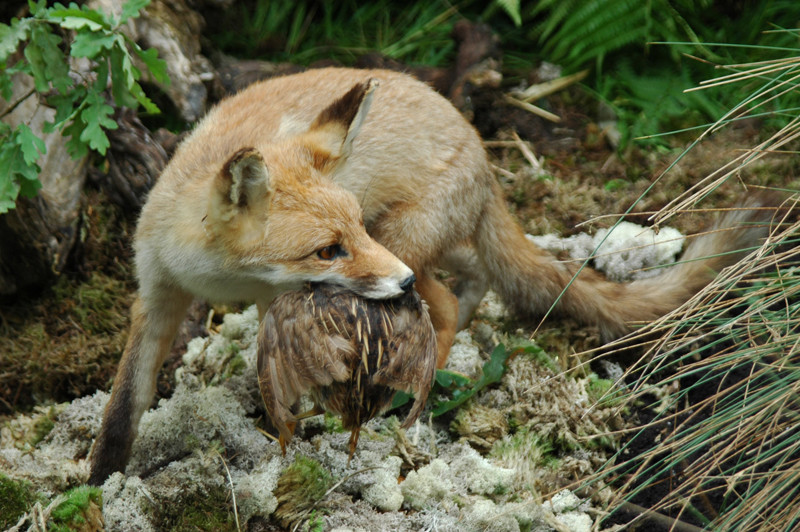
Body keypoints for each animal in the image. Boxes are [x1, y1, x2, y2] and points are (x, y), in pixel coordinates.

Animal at [87, 65, 768, 482]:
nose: (401, 283)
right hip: (420, 247)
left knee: (441, 310)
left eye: (348, 234)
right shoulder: (156, 293)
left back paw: (414, 393)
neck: (218, 281)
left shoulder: (279, 297)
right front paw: (100, 481)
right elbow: (123, 408)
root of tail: (482, 148)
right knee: (476, 281)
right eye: (328, 249)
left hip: (405, 242)